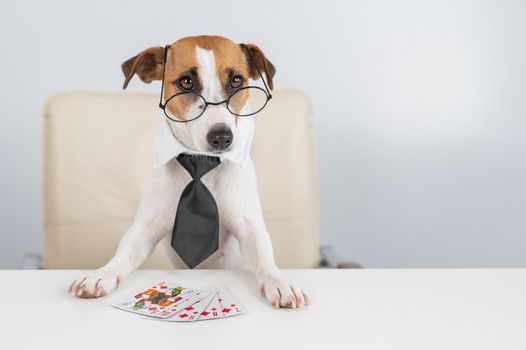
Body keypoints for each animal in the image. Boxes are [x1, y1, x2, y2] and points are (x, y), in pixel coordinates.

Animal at [68, 36, 312, 308]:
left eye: (237, 80)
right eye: (187, 82)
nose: (222, 137)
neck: (202, 164)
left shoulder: (249, 226)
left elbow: (264, 257)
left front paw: (279, 282)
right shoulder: (147, 226)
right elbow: (125, 252)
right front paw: (101, 274)